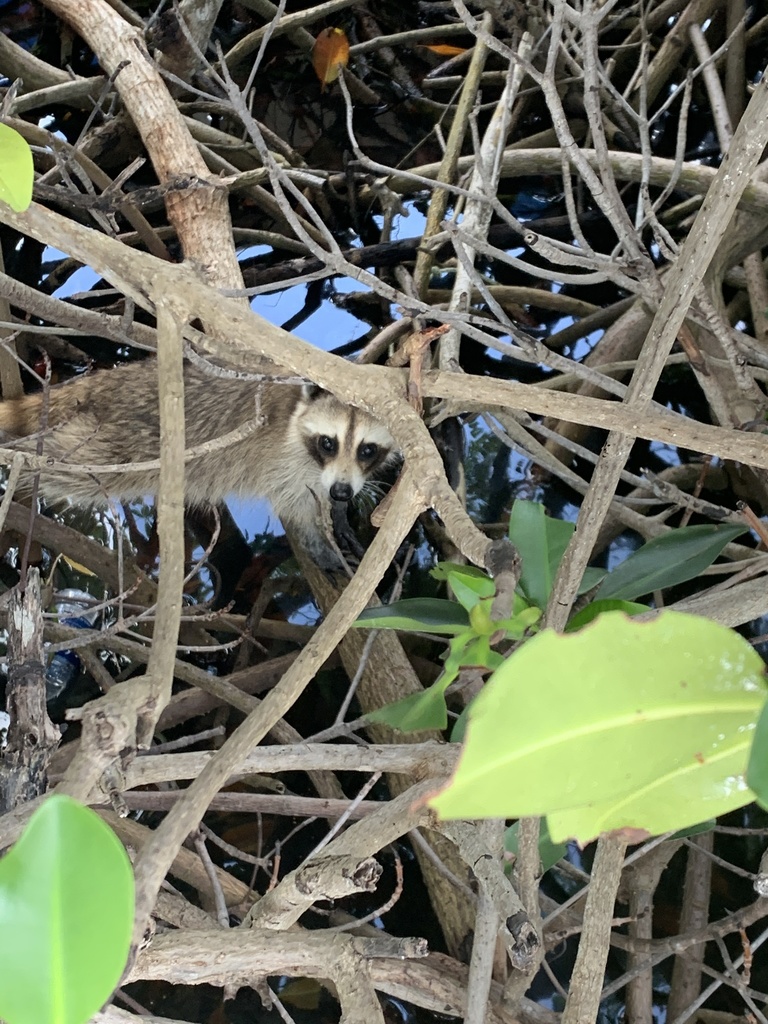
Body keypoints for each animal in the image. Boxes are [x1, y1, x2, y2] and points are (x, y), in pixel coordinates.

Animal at [0, 359, 398, 567]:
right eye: (328, 442)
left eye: (367, 450)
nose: (342, 491)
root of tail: (107, 384)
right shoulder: (281, 460)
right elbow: (294, 506)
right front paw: (321, 545)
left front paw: (339, 513)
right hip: (116, 444)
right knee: (68, 466)